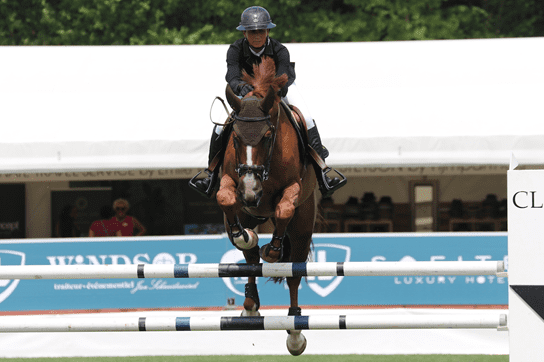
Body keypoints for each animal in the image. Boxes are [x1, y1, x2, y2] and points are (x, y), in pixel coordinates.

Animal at [217, 57, 316, 356]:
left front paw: (272, 250)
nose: (250, 192)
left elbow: (284, 209)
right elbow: (225, 198)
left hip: (302, 229)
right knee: (249, 261)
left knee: (294, 274)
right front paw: (244, 236)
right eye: (235, 137)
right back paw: (250, 306)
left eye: (268, 135)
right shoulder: (231, 182)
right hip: (248, 218)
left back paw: (295, 333)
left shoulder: (294, 188)